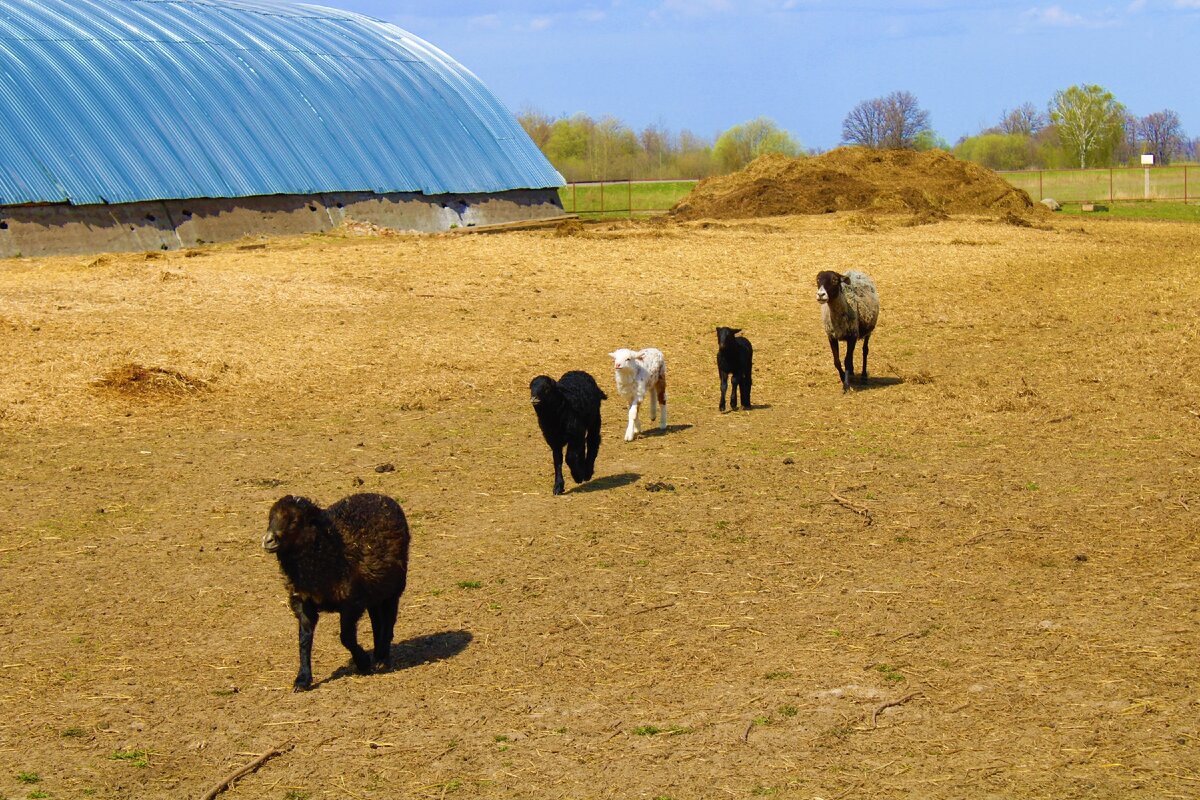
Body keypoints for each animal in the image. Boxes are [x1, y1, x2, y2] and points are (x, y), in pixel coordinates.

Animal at [262, 491, 412, 690]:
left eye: (294, 521)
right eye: (270, 518)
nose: (267, 540)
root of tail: (380, 496)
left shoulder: (352, 602)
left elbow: (346, 637)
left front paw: (363, 662)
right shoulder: (304, 601)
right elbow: (304, 639)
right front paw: (302, 679)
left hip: (393, 586)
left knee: (388, 619)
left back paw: (382, 658)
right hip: (374, 589)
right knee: (377, 620)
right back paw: (378, 653)